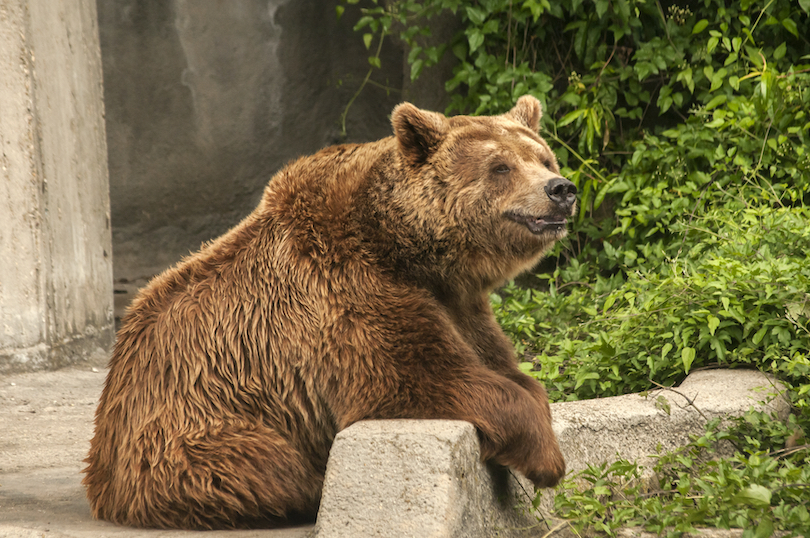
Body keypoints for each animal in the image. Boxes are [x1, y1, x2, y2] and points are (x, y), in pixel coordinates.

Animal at [82, 95, 572, 528]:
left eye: (544, 158)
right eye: (500, 167)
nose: (560, 190)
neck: (405, 251)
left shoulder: (459, 303)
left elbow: (502, 366)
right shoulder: (345, 291)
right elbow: (422, 379)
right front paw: (547, 461)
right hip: (193, 432)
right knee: (263, 466)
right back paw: (309, 489)